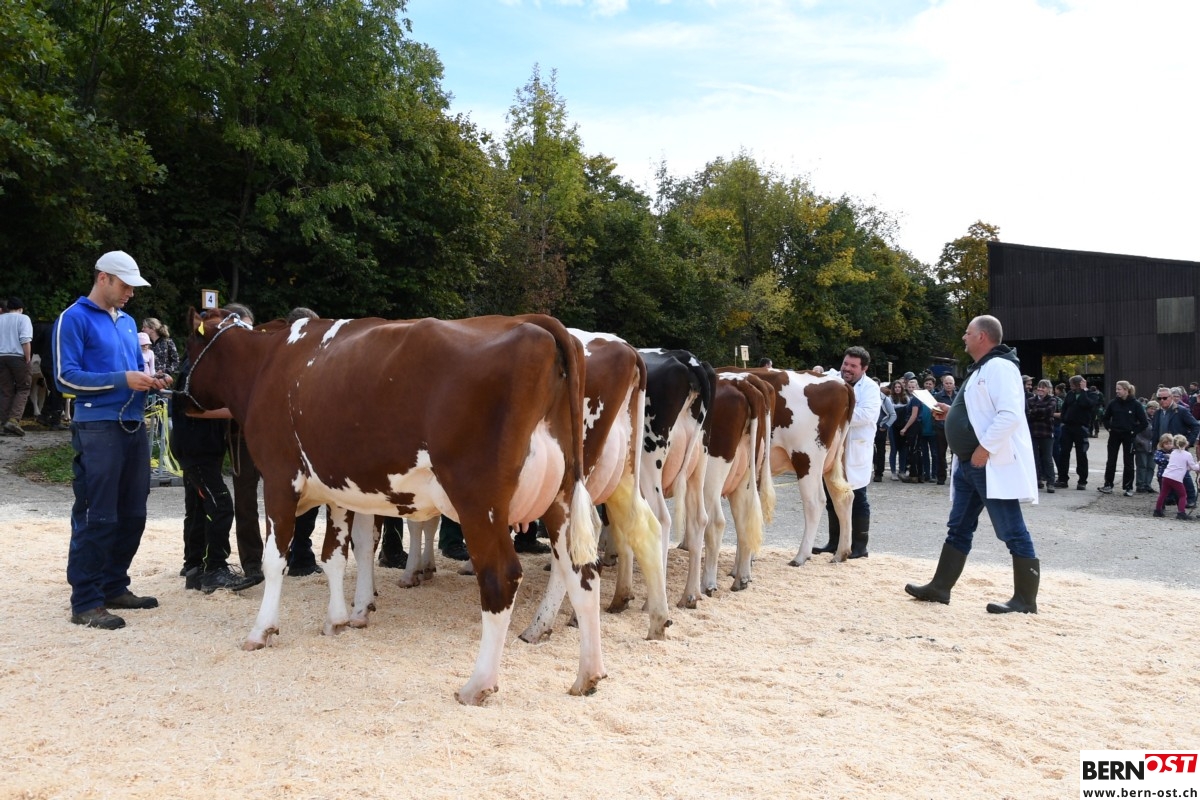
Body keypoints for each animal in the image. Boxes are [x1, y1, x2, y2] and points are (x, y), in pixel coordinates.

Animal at [180, 309, 603, 705]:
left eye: (188, 346)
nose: (177, 397)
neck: (267, 362)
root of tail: (537, 325)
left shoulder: (279, 480)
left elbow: (275, 561)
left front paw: (261, 630)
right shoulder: (338, 490)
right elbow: (335, 555)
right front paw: (338, 619)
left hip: (478, 500)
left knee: (501, 577)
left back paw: (478, 684)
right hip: (562, 498)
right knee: (582, 572)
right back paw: (588, 675)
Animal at [519, 330, 668, 641]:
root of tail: (624, 347)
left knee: (571, 540)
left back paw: (539, 627)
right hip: (623, 469)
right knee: (644, 525)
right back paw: (654, 618)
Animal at [720, 367, 854, 566]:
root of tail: (840, 382)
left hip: (806, 457)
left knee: (814, 502)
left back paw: (801, 556)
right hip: (833, 461)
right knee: (843, 497)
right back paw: (840, 553)